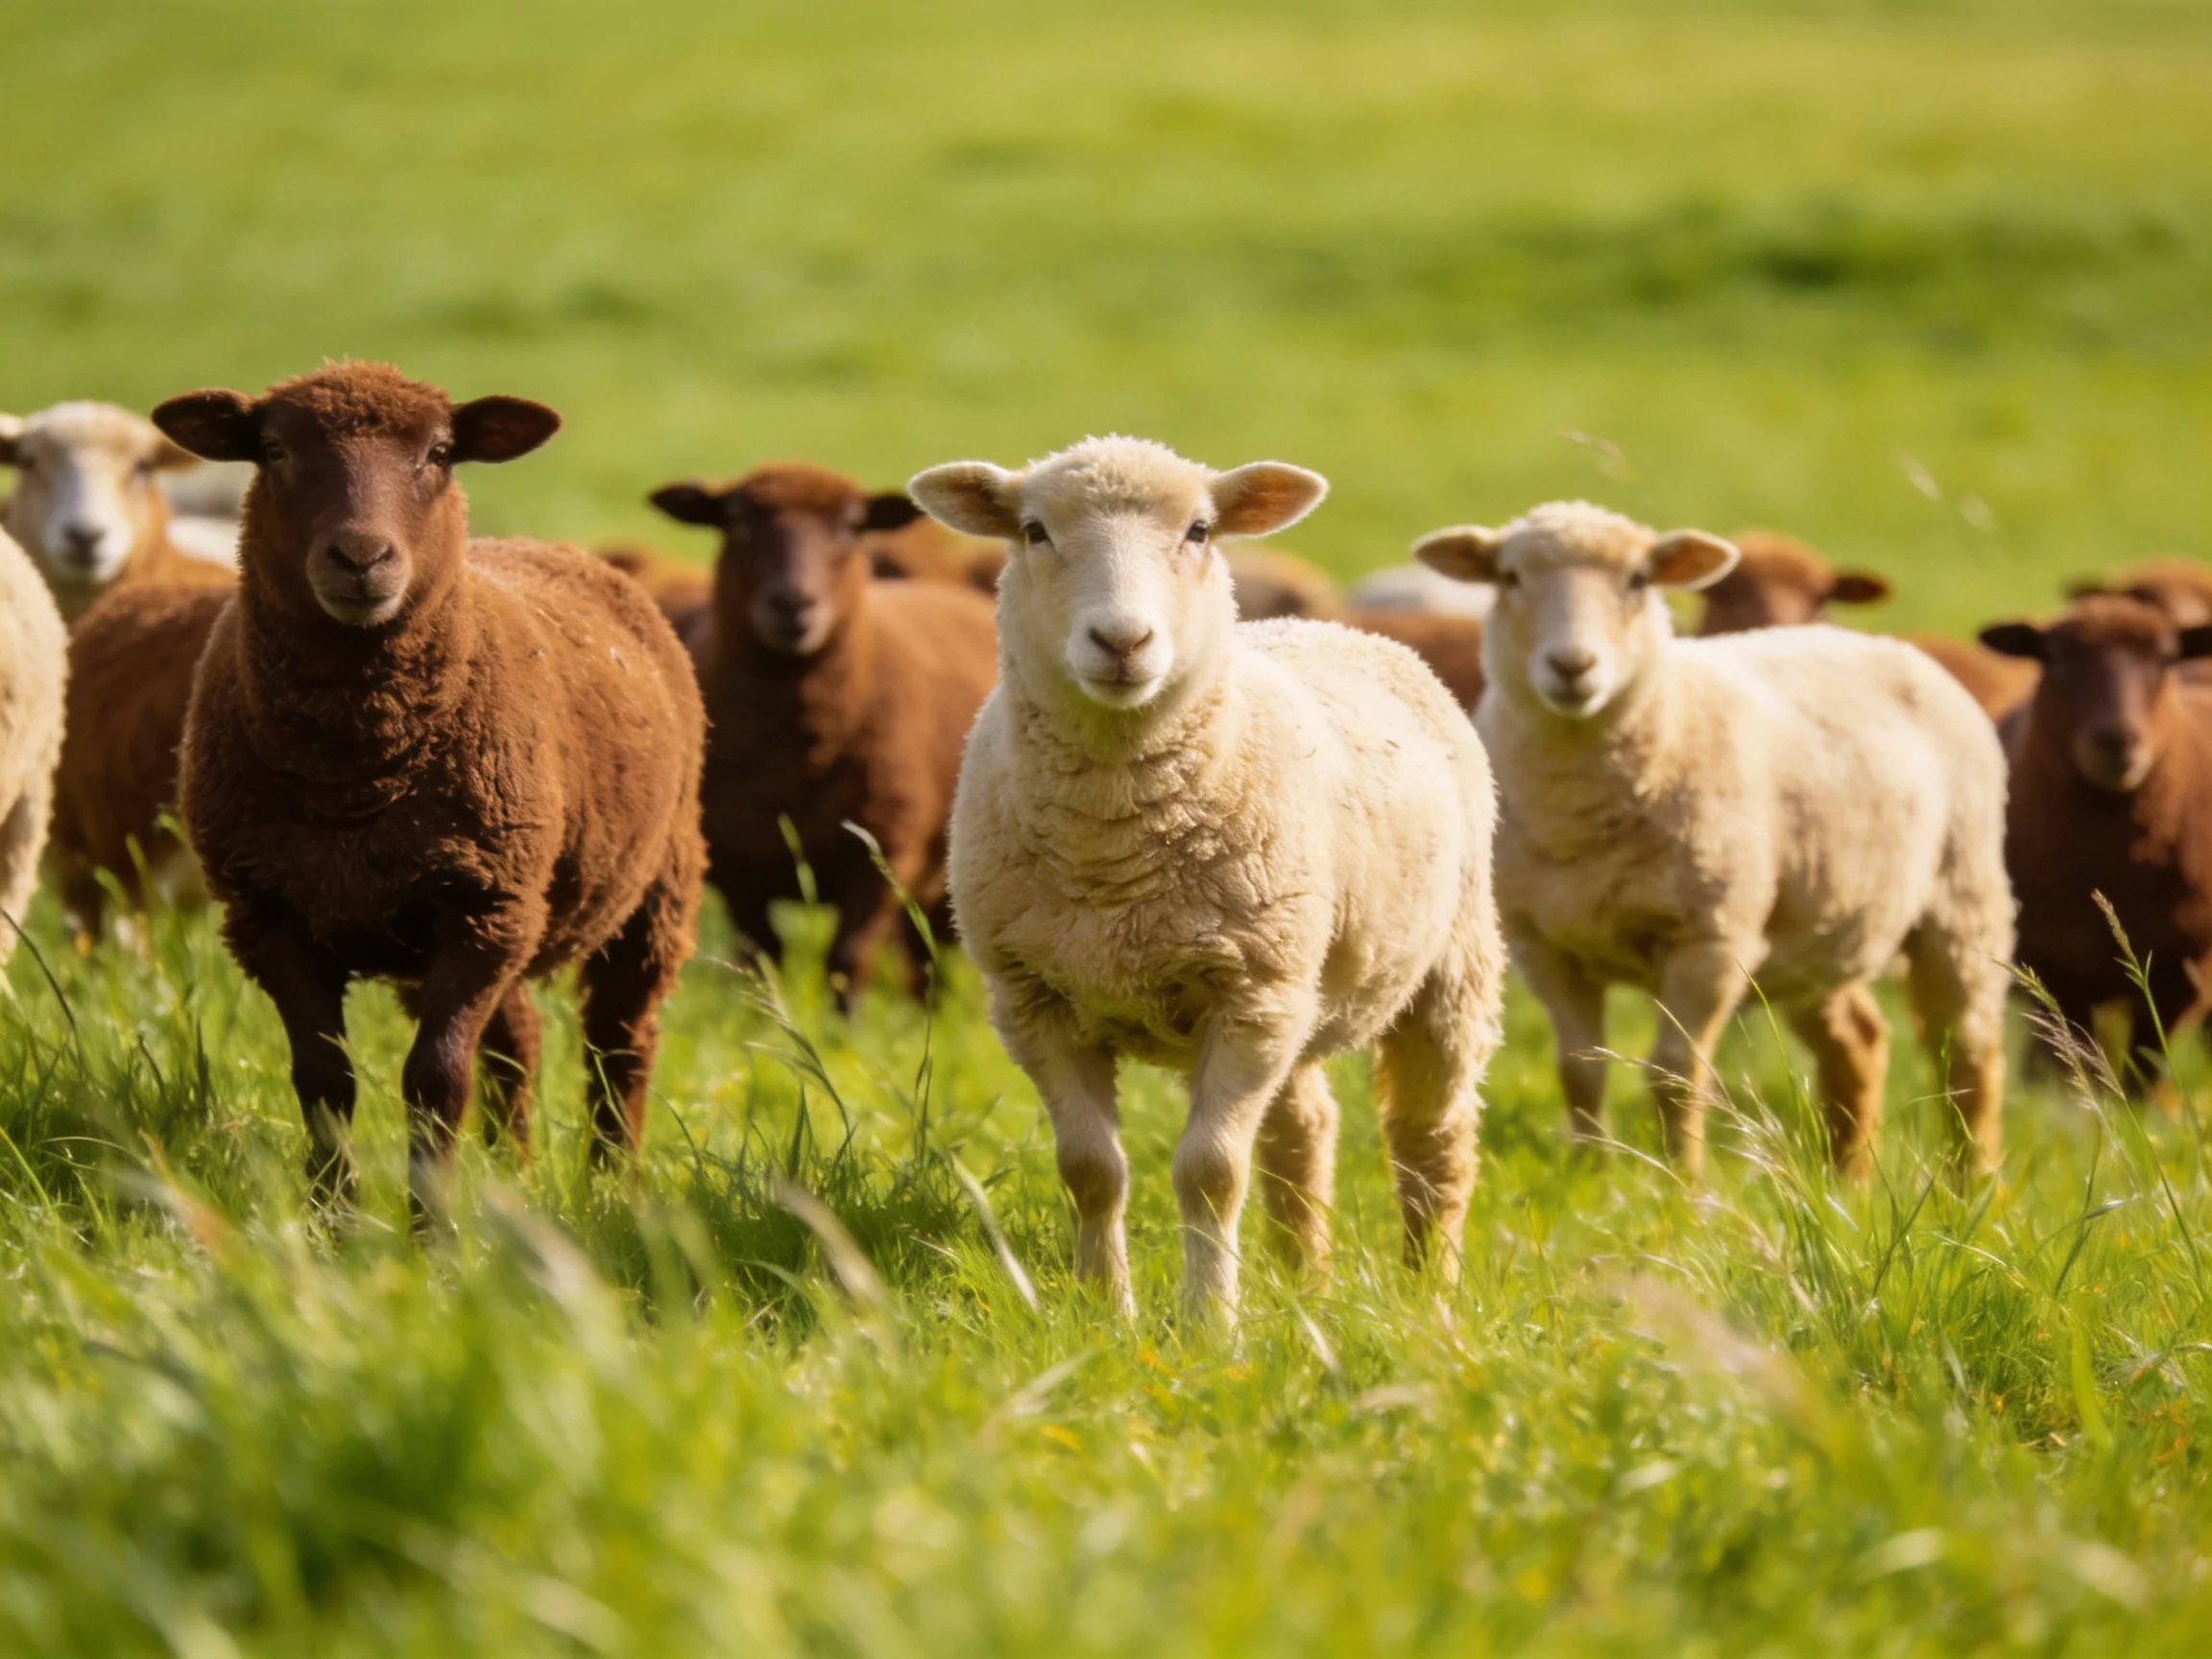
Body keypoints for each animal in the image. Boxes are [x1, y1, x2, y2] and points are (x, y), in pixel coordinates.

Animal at [154, 362, 706, 1199]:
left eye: (440, 453)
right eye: (275, 450)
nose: (360, 558)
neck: (354, 776)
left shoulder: (482, 909)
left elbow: (437, 1079)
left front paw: (434, 1225)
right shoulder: (268, 912)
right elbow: (325, 1082)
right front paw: (332, 1216)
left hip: (650, 887)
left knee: (620, 1043)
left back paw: (612, 1184)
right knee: (519, 1041)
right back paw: (509, 1173)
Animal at [646, 462, 997, 996]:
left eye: (851, 527)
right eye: (735, 519)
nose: (793, 603)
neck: (795, 756)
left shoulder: (879, 855)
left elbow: (847, 962)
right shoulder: (739, 866)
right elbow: (760, 961)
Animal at [910, 437, 1505, 1321]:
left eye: (1198, 531)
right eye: (1034, 532)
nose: (1122, 641)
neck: (1113, 856)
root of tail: (1326, 624)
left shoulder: (1248, 997)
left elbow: (1211, 1172)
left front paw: (1207, 1323)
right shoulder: (1034, 1001)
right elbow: (1090, 1171)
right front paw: (1104, 1313)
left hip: (1445, 965)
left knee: (1431, 1136)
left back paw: (1430, 1292)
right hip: (1297, 981)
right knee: (1305, 1128)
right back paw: (1304, 1283)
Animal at [1416, 500, 2012, 1181]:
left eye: (1639, 580)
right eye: (1510, 578)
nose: (1571, 667)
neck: (1579, 813)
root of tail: (1880, 643)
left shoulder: (1710, 939)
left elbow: (1674, 1074)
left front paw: (1681, 1185)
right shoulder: (1545, 946)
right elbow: (1579, 1073)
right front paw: (1590, 1174)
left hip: (1963, 897)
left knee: (1967, 1051)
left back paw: (1975, 1182)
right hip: (1816, 928)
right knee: (1859, 1040)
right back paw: (1850, 1181)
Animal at [1979, 596, 2212, 1077]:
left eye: (2166, 658)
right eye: (2054, 656)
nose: (2116, 741)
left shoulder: (2180, 974)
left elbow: (2145, 1066)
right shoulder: (2054, 964)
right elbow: (2065, 1067)